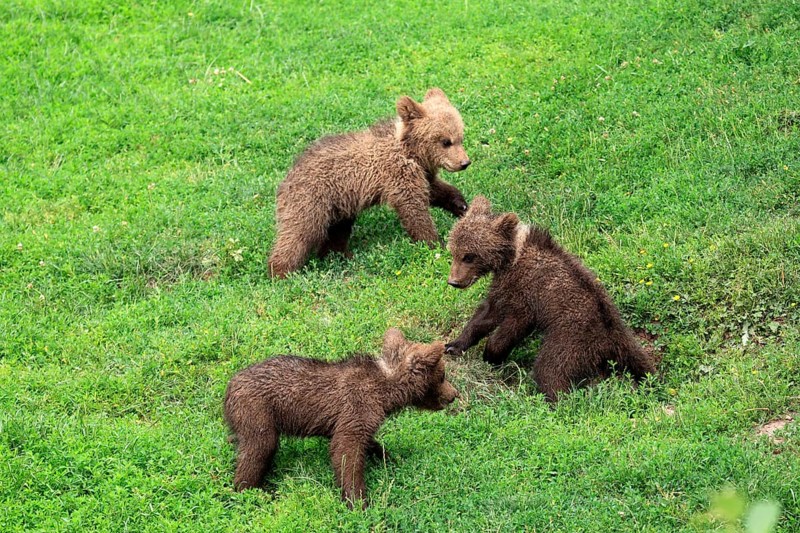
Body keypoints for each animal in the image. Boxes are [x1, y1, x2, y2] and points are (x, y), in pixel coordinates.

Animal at [223, 328, 459, 509]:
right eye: (443, 376)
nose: (454, 395)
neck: (385, 393)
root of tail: (228, 388)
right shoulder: (356, 410)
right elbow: (347, 453)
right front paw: (358, 501)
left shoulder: (352, 420)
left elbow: (368, 442)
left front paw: (389, 457)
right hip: (257, 412)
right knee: (257, 449)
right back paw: (252, 492)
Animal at [267, 88, 471, 278]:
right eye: (445, 141)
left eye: (460, 137)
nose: (464, 163)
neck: (412, 152)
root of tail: (286, 179)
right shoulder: (398, 174)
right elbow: (414, 210)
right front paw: (434, 243)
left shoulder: (421, 174)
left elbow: (436, 191)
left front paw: (462, 206)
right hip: (311, 201)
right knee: (298, 234)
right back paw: (281, 272)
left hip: (339, 207)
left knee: (336, 232)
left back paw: (338, 256)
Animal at [444, 195, 656, 402]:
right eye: (453, 252)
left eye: (469, 256)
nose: (454, 281)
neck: (511, 256)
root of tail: (608, 342)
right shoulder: (505, 288)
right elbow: (486, 314)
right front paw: (453, 345)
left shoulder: (524, 292)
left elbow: (513, 324)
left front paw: (491, 354)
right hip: (626, 340)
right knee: (642, 364)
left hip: (570, 341)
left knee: (550, 370)